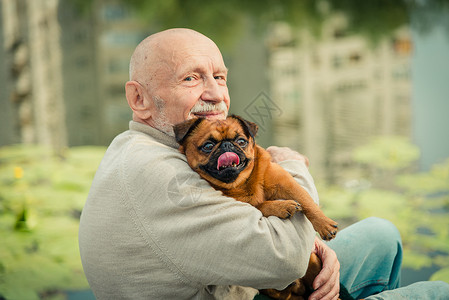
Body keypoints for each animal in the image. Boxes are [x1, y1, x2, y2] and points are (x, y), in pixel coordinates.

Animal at [173, 115, 338, 300]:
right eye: (208, 146)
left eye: (241, 141)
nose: (227, 145)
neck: (241, 184)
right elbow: (262, 205)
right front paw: (283, 206)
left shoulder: (285, 183)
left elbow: (306, 201)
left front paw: (324, 224)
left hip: (314, 262)